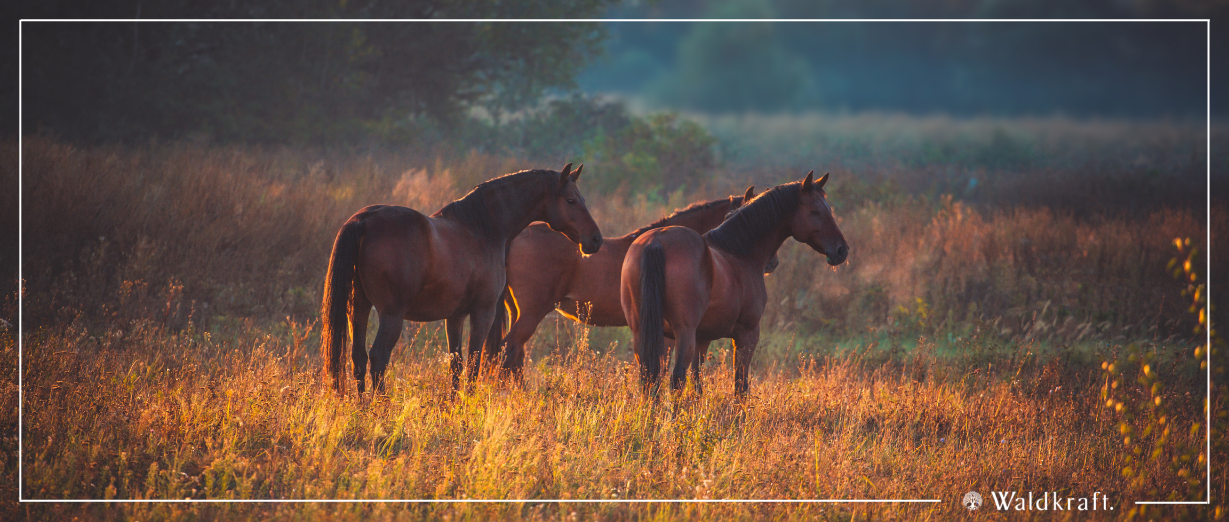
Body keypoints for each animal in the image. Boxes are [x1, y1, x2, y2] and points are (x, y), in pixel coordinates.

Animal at [320, 164, 602, 395]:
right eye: (571, 200)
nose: (596, 240)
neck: (481, 228)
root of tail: (363, 220)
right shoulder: (483, 312)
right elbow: (474, 363)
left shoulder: (455, 316)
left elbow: (456, 364)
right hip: (391, 316)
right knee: (378, 358)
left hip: (358, 309)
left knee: (358, 358)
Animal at [486, 187, 781, 376]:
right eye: (733, 216)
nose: (772, 264)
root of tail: (514, 237)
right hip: (532, 312)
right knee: (509, 351)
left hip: (516, 311)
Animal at [621, 171, 848, 396]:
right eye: (815, 211)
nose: (841, 250)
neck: (738, 252)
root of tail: (656, 242)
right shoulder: (747, 334)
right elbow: (740, 385)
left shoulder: (703, 338)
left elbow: (697, 383)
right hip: (683, 332)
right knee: (676, 378)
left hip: (643, 332)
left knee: (650, 379)